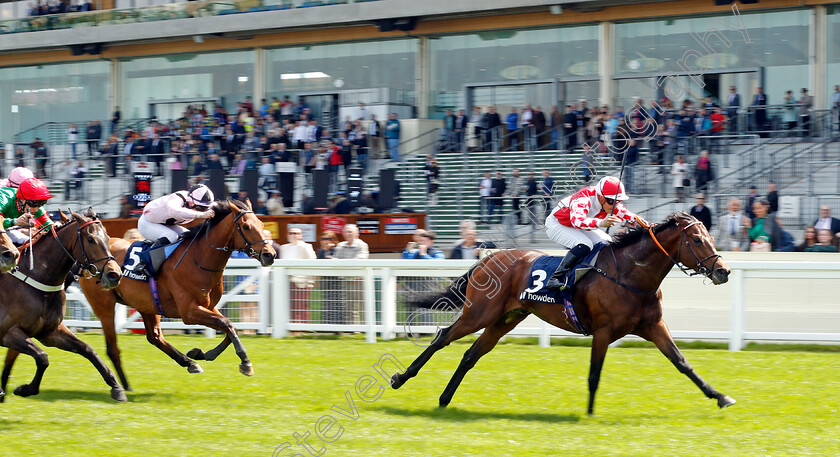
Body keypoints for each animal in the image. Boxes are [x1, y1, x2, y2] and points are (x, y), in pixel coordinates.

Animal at [0, 208, 124, 400]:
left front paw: (116, 387)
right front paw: (25, 389)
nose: (114, 275)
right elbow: (42, 357)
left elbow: (88, 349)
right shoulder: (8, 333)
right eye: (90, 239)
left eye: (108, 237)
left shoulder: (50, 332)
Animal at [75, 198, 272, 390]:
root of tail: (83, 259)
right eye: (246, 226)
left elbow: (230, 327)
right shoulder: (189, 311)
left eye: (261, 224)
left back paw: (189, 363)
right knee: (113, 347)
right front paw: (245, 362)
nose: (269, 254)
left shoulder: (208, 306)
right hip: (104, 305)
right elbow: (227, 324)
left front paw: (201, 354)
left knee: (155, 337)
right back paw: (124, 386)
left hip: (147, 304)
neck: (199, 258)